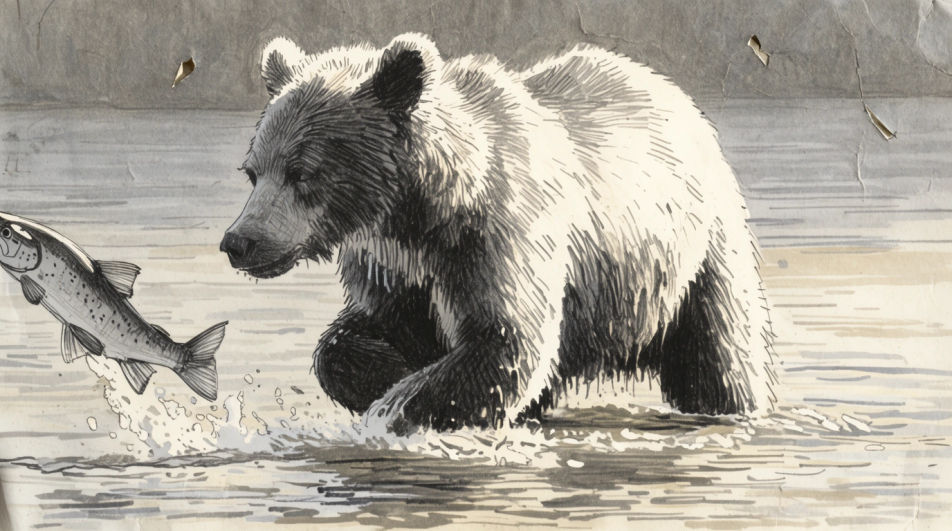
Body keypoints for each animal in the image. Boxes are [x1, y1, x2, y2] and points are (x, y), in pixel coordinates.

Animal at [220, 33, 776, 432]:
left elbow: (505, 339)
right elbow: (353, 336)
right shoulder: (391, 265)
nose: (239, 242)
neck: (419, 212)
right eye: (253, 171)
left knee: (719, 358)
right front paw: (386, 373)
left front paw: (398, 405)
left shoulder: (499, 238)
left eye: (302, 172)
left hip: (693, 258)